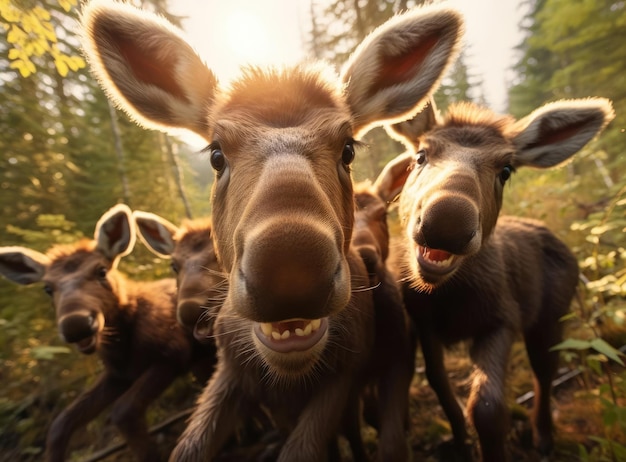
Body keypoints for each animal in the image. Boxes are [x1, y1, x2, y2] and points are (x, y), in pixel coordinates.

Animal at [0, 204, 214, 460]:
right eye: (48, 288)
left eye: (101, 271)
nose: (76, 324)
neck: (123, 349)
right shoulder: (117, 375)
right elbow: (60, 424)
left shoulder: (172, 354)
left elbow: (123, 411)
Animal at [382, 99, 612, 460]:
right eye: (420, 155)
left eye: (506, 170)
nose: (448, 219)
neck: (449, 297)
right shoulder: (425, 325)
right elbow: (441, 387)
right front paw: (460, 443)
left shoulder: (502, 320)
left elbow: (488, 409)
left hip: (551, 318)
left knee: (545, 372)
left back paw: (543, 436)